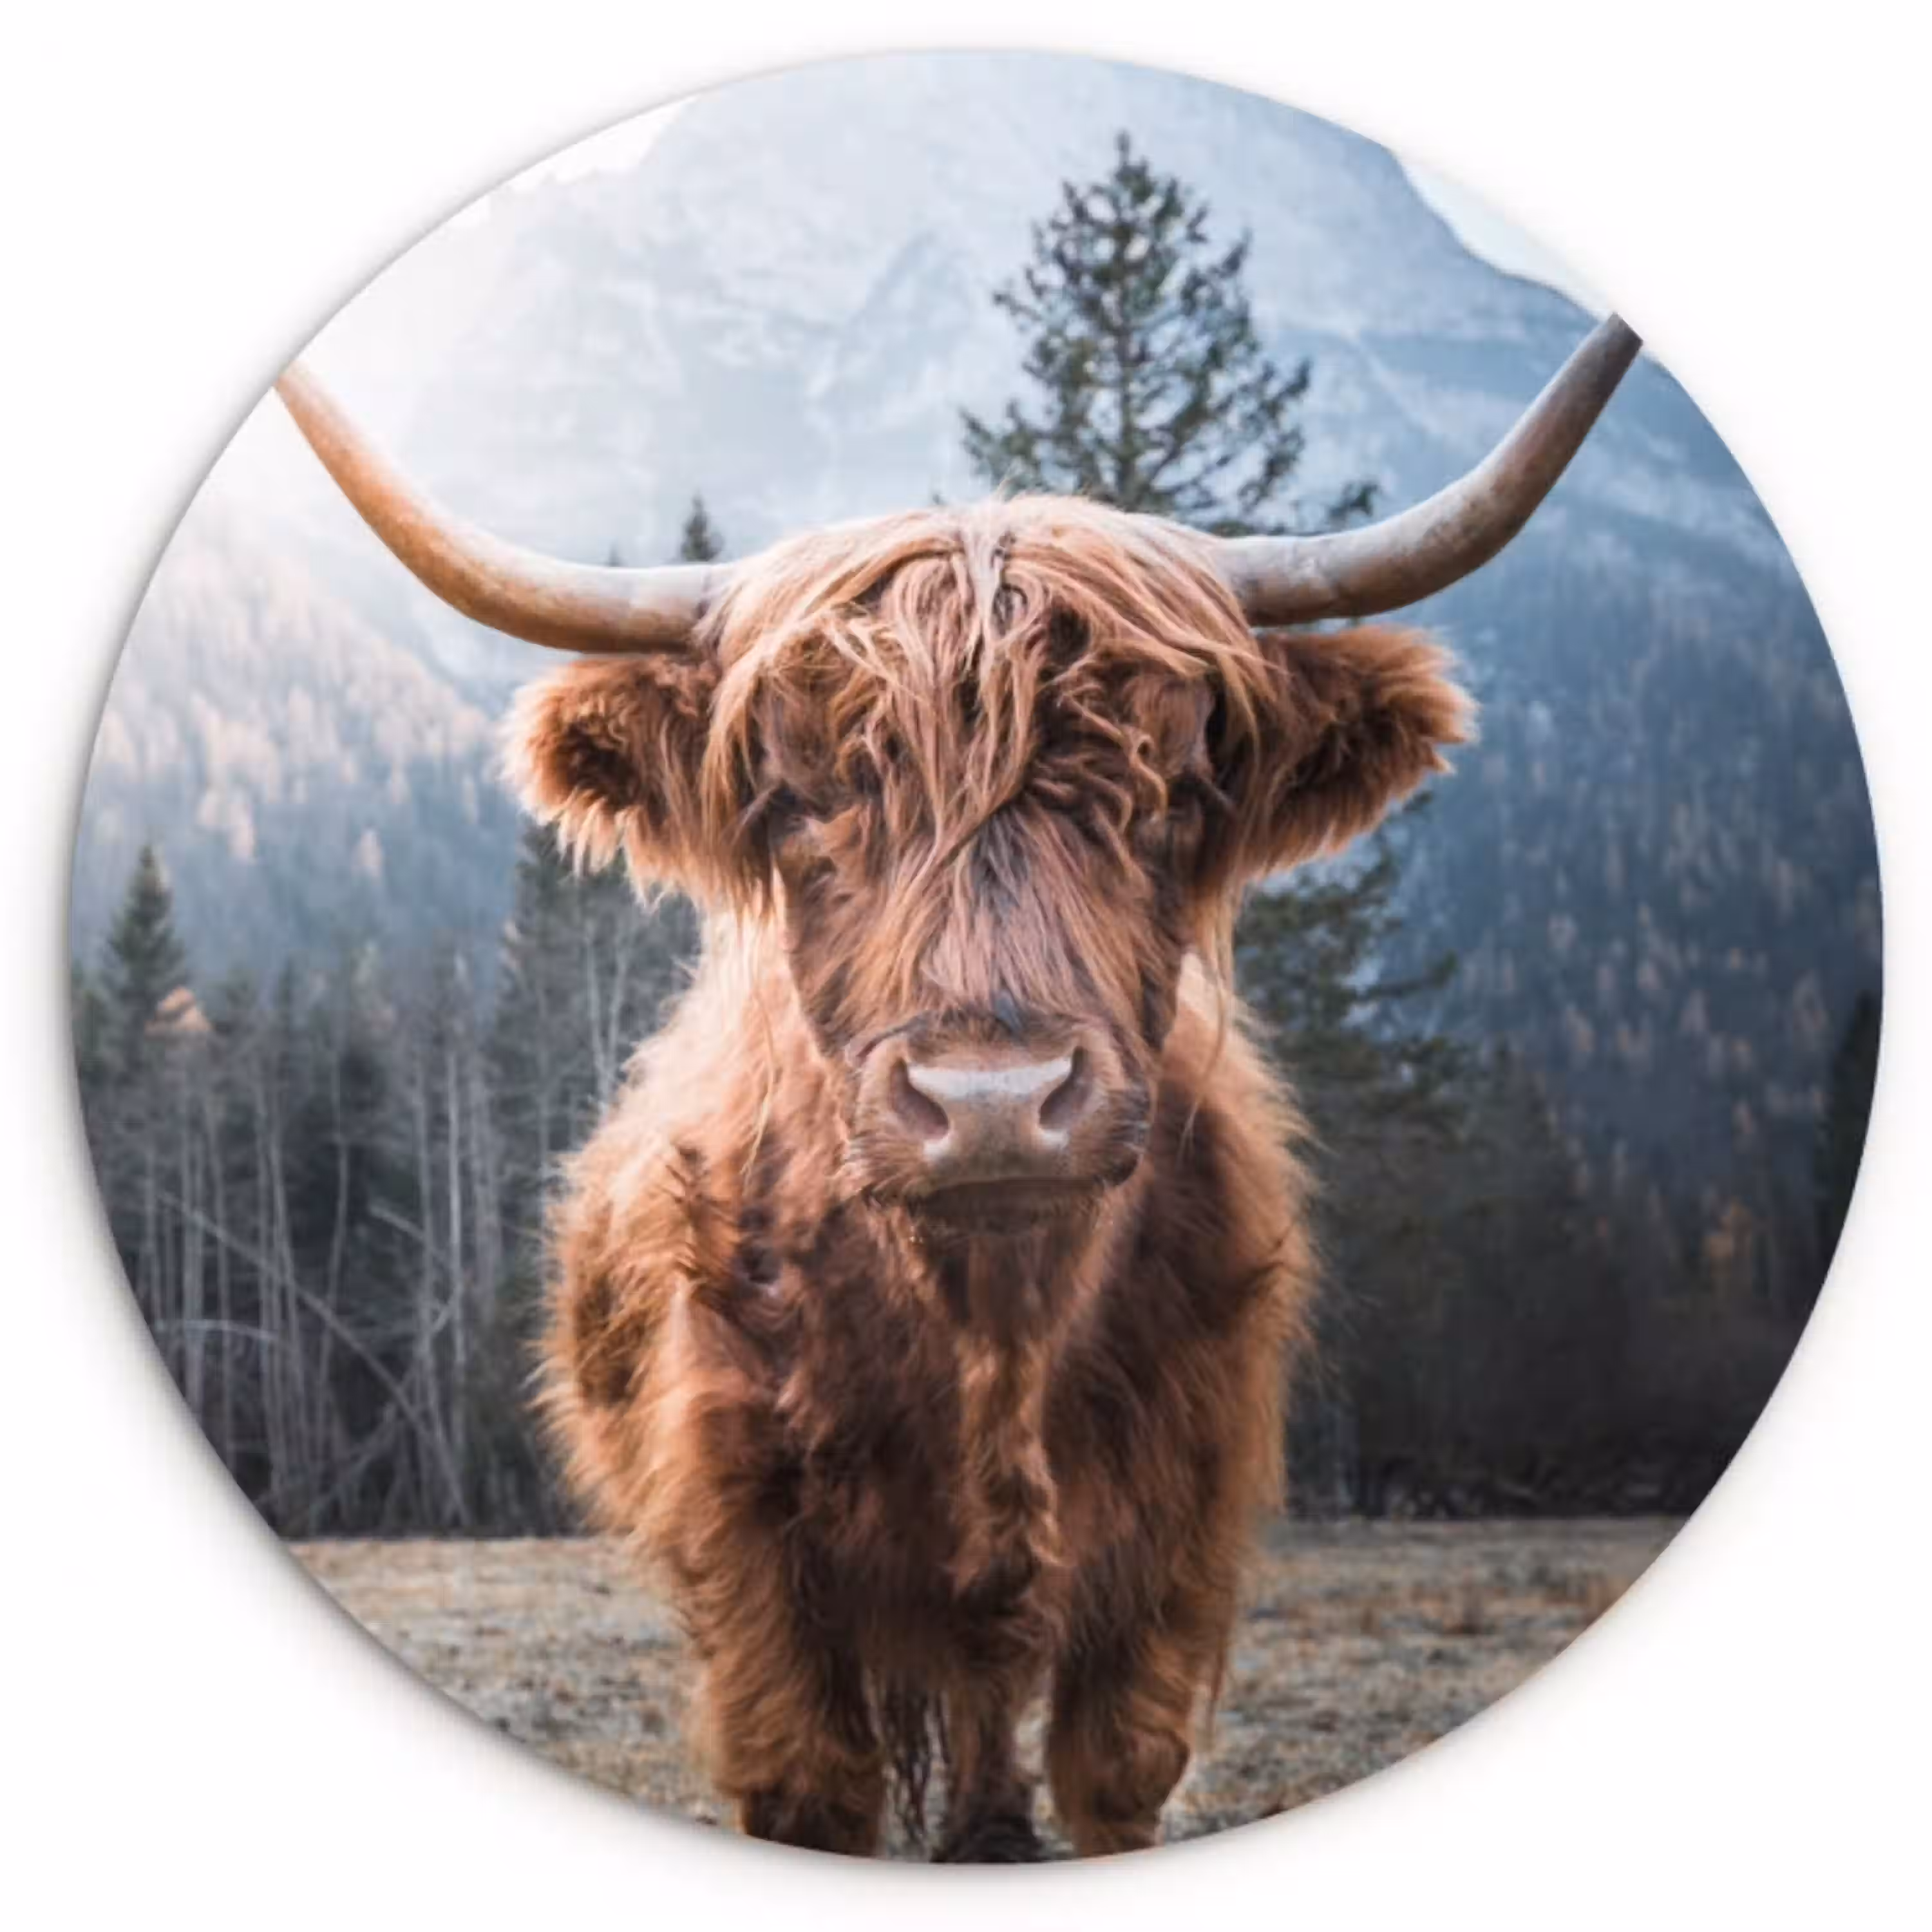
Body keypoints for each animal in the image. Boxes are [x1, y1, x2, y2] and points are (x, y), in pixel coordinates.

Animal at [276, 314, 1639, 1859]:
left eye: (1173, 788)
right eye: (797, 798)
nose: (994, 1102)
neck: (993, 1330)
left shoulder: (1179, 1536)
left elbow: (1115, 1771)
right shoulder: (752, 1553)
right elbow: (812, 1785)